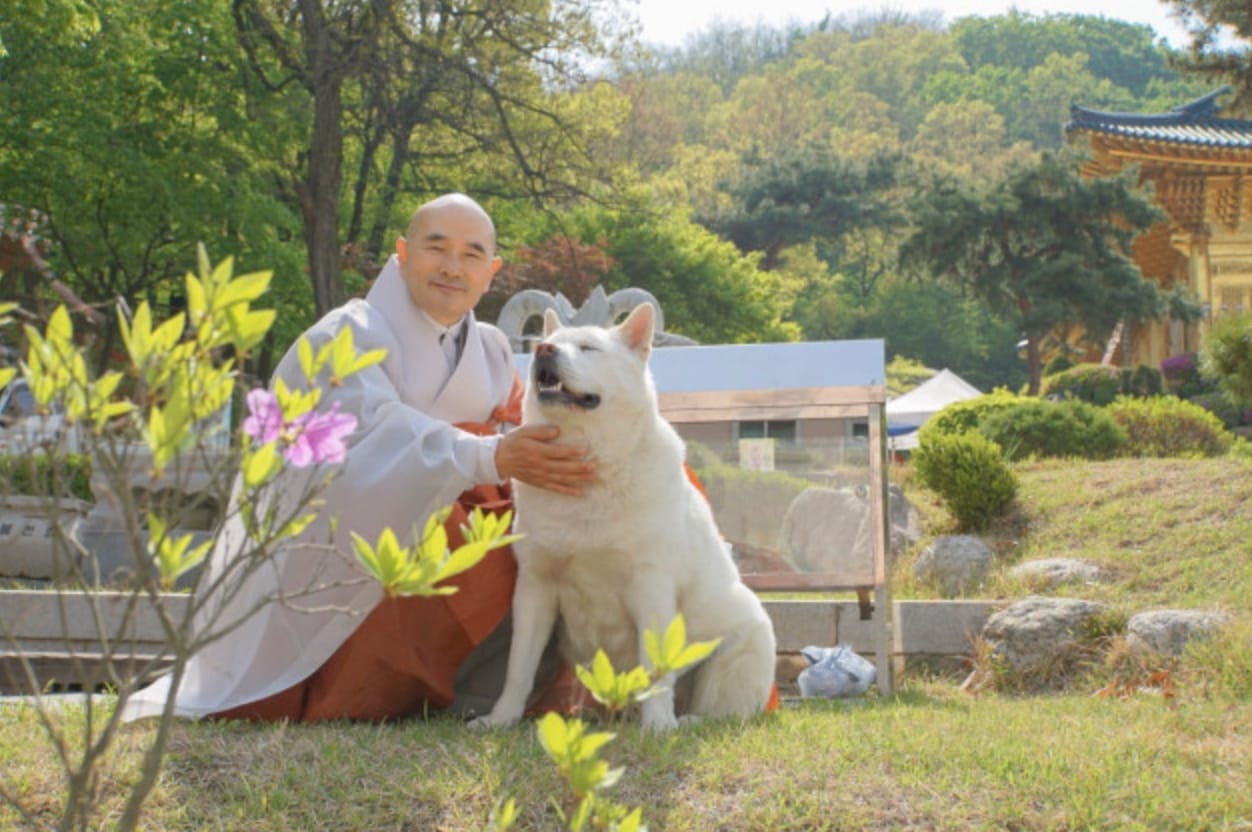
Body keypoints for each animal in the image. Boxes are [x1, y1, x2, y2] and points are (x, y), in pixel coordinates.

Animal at [473, 304, 776, 725]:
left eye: (588, 348)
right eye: (546, 343)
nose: (544, 350)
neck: (592, 474)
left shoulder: (651, 586)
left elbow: (655, 668)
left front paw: (658, 725)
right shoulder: (534, 587)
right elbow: (519, 667)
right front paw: (501, 719)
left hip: (745, 642)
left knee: (721, 710)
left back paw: (682, 721)